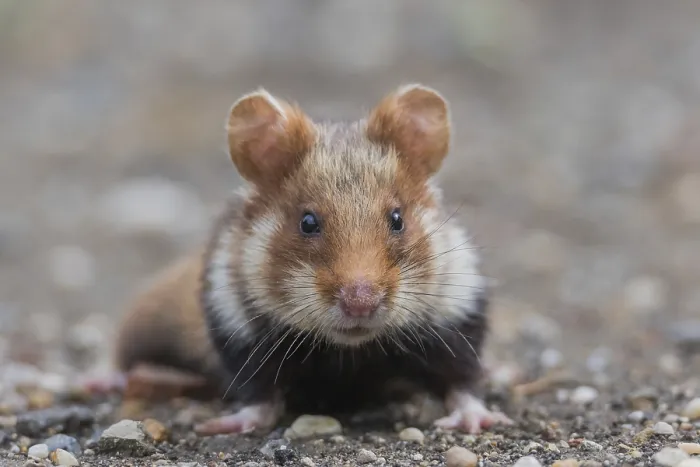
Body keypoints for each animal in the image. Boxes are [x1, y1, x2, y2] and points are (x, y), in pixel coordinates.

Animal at [105, 84, 512, 436]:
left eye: (398, 218)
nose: (361, 304)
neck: (351, 353)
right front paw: (219, 426)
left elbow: (462, 380)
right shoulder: (238, 327)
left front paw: (480, 420)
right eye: (308, 222)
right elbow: (259, 396)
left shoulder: (457, 313)